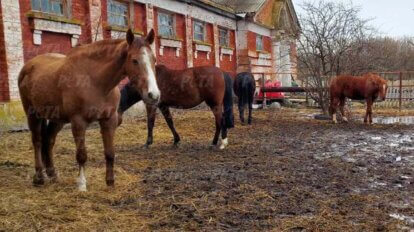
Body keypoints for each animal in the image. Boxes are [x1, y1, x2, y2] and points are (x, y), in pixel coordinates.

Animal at [18, 29, 159, 191]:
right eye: (135, 60)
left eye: (154, 59)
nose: (153, 95)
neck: (94, 81)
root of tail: (28, 67)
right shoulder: (78, 122)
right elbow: (81, 155)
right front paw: (81, 184)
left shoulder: (108, 120)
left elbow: (110, 153)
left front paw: (110, 182)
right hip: (33, 114)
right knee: (37, 141)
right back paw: (39, 177)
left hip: (57, 119)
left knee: (49, 140)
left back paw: (52, 174)